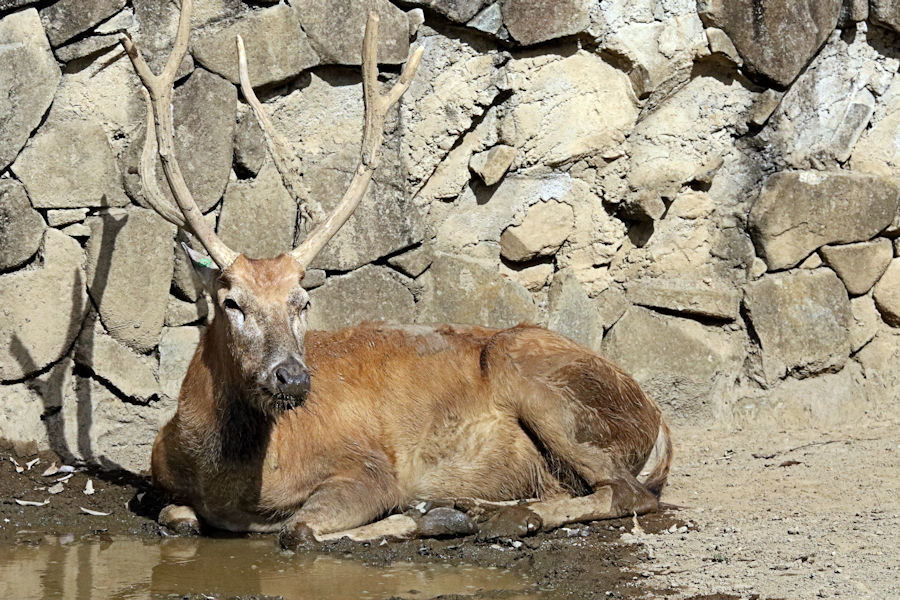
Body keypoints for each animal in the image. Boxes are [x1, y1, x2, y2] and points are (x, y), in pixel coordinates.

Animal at [119, 0, 672, 548]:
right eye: (232, 301)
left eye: (302, 302)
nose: (293, 376)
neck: (231, 483)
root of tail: (658, 421)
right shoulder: (161, 482)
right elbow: (177, 517)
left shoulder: (369, 466)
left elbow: (300, 530)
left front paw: (422, 517)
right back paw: (480, 507)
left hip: (528, 369)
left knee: (628, 492)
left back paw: (499, 517)